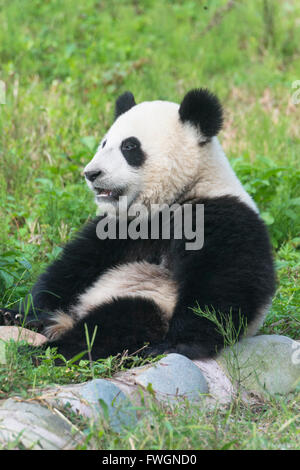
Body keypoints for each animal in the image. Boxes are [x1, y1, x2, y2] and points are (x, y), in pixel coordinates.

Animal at [0, 88, 276, 360]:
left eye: (129, 146)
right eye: (104, 143)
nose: (91, 173)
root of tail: (68, 320)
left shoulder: (220, 215)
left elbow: (222, 284)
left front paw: (175, 345)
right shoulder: (120, 226)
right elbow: (72, 267)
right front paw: (26, 310)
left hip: (152, 300)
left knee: (118, 322)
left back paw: (46, 349)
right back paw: (20, 319)